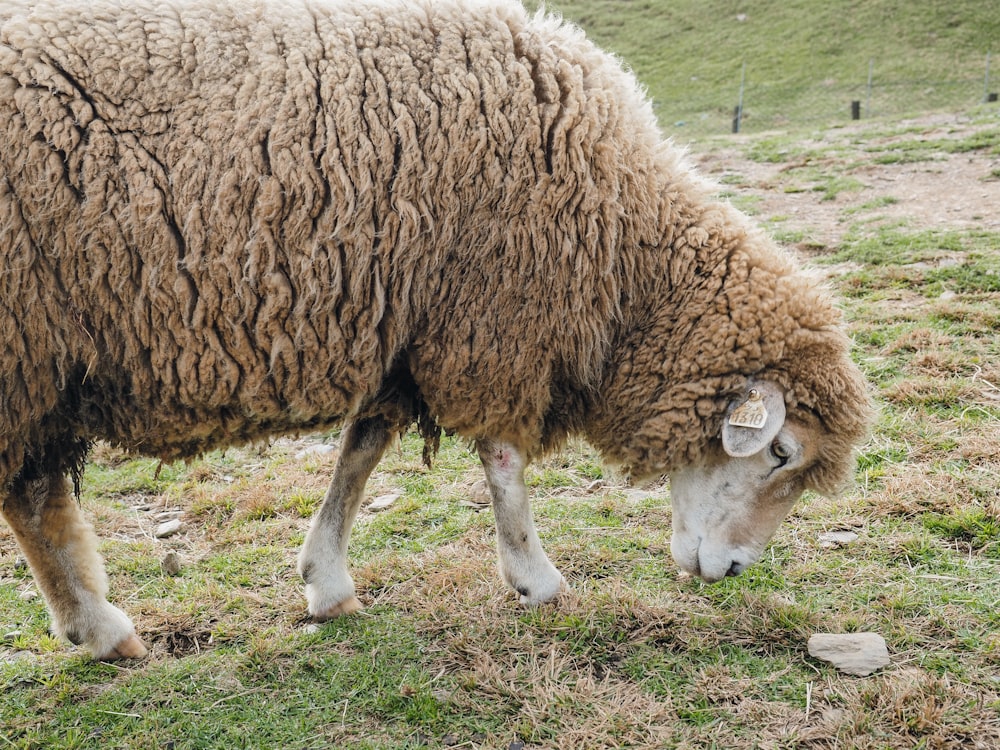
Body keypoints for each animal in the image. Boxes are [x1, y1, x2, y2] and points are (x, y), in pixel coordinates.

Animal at [0, 0, 872, 656]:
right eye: (781, 454)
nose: (733, 571)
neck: (625, 247)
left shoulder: (406, 331)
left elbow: (360, 456)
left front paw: (327, 582)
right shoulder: (497, 319)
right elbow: (504, 465)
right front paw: (536, 579)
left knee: (31, 492)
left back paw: (92, 629)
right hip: (25, 343)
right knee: (34, 494)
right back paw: (100, 626)